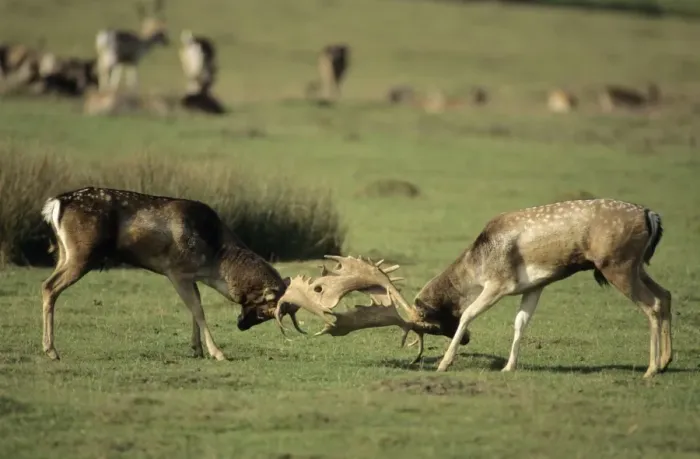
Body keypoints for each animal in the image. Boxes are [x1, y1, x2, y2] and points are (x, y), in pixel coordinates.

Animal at [39, 187, 304, 361]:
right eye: (266, 310)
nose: (242, 326)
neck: (214, 263)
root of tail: (55, 204)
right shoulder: (175, 270)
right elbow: (197, 309)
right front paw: (218, 352)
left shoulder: (190, 275)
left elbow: (196, 308)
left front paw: (197, 349)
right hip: (82, 254)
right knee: (49, 286)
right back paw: (51, 351)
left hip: (64, 253)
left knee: (48, 284)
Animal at [275, 198, 671, 379]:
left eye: (432, 325)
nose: (464, 342)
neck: (477, 262)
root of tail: (651, 216)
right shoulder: (535, 284)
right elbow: (520, 323)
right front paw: (509, 367)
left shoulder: (499, 282)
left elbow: (468, 311)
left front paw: (443, 364)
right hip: (635, 265)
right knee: (666, 295)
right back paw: (666, 362)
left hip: (617, 265)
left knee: (651, 305)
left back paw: (651, 369)